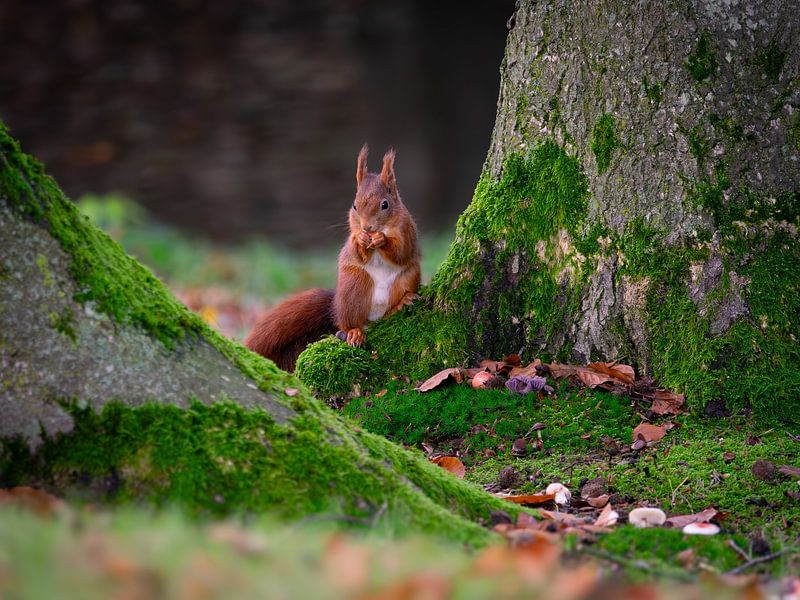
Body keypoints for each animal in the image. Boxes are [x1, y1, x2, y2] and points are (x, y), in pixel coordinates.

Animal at [244, 145, 421, 371]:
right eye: (354, 206)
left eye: (385, 205)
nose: (367, 227)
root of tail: (335, 306)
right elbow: (356, 251)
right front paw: (360, 239)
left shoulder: (407, 231)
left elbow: (401, 252)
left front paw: (381, 239)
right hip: (354, 286)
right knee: (347, 323)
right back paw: (354, 331)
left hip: (408, 276)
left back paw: (401, 303)